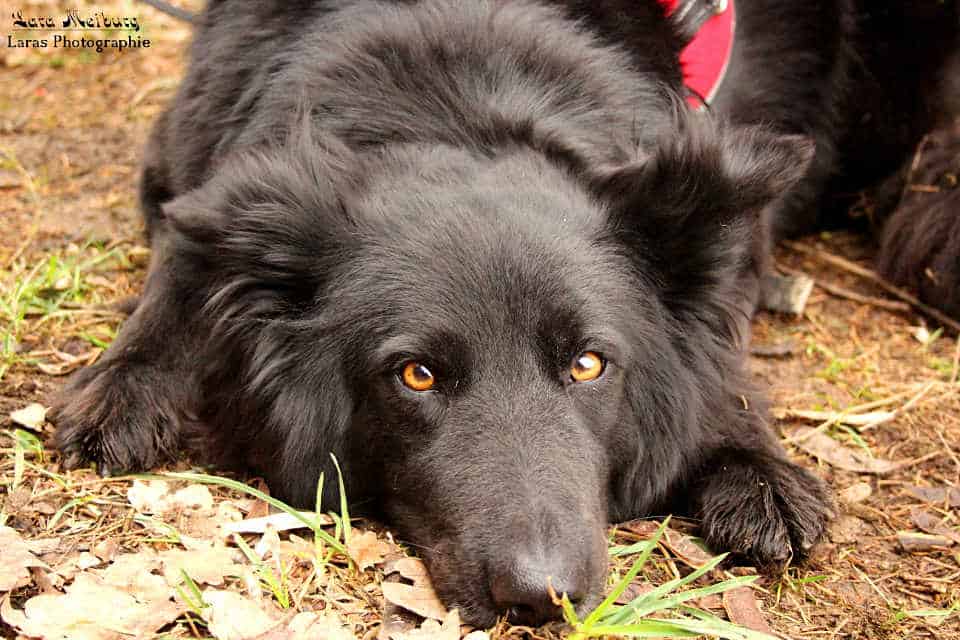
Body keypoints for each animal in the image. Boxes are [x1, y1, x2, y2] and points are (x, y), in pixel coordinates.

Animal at [56, 0, 956, 628]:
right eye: (416, 375)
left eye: (589, 364)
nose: (541, 597)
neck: (459, 94)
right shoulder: (186, 172)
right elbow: (181, 267)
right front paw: (125, 387)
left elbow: (718, 365)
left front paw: (751, 462)